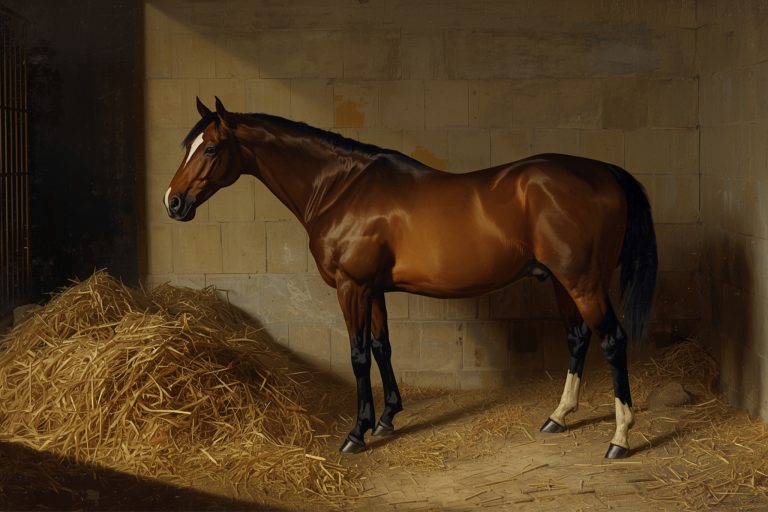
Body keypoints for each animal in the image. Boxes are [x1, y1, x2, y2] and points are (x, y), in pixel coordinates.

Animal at [164, 97, 657, 459]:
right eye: (186, 147)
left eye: (210, 148)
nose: (173, 202)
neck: (341, 188)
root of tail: (604, 171)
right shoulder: (373, 290)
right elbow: (382, 347)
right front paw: (387, 419)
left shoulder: (352, 287)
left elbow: (358, 355)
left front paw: (357, 432)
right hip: (561, 280)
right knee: (578, 338)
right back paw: (558, 416)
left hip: (583, 282)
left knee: (612, 340)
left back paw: (620, 438)